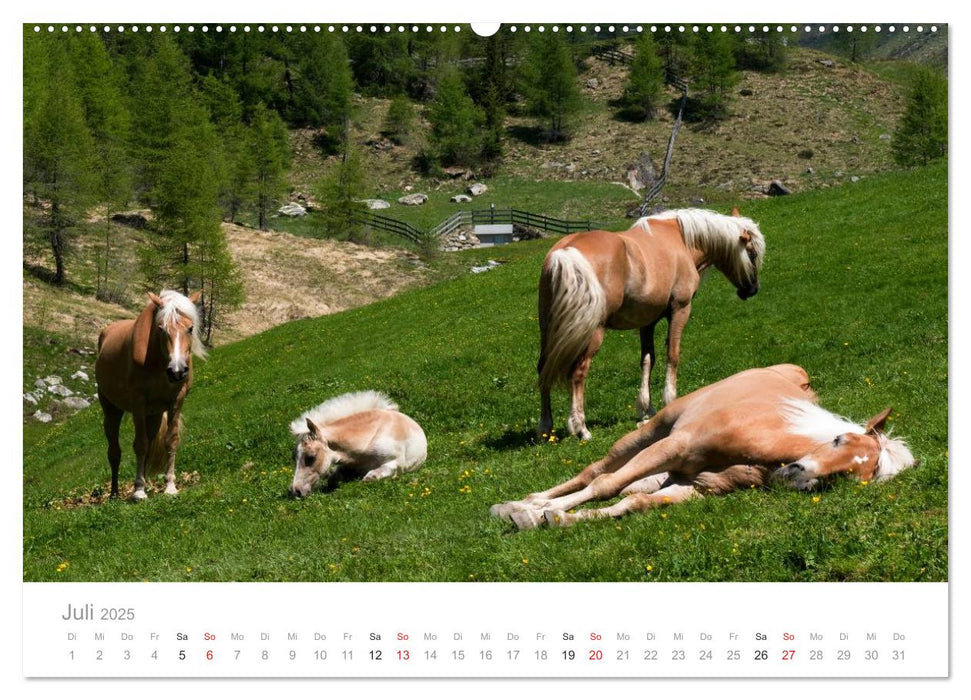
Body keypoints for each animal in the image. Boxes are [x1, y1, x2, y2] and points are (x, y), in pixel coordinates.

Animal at [95, 292, 205, 504]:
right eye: (161, 329)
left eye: (190, 328)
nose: (177, 371)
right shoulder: (138, 403)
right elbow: (140, 445)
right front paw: (138, 490)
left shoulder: (175, 401)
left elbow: (170, 441)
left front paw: (170, 486)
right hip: (112, 410)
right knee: (114, 451)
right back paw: (115, 493)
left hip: (153, 414)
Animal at [498, 364, 916, 528]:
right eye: (837, 439)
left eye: (849, 476)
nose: (797, 474)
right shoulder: (675, 447)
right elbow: (606, 485)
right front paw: (537, 513)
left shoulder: (697, 486)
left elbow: (634, 502)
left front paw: (560, 520)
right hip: (651, 434)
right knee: (595, 472)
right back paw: (523, 503)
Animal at [540, 205, 768, 440]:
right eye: (752, 253)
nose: (752, 290)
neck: (682, 240)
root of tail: (565, 252)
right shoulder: (680, 310)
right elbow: (672, 355)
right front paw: (669, 400)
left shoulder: (647, 322)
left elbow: (647, 360)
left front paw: (646, 410)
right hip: (593, 332)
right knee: (578, 372)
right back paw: (581, 428)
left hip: (548, 330)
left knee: (543, 369)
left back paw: (546, 426)